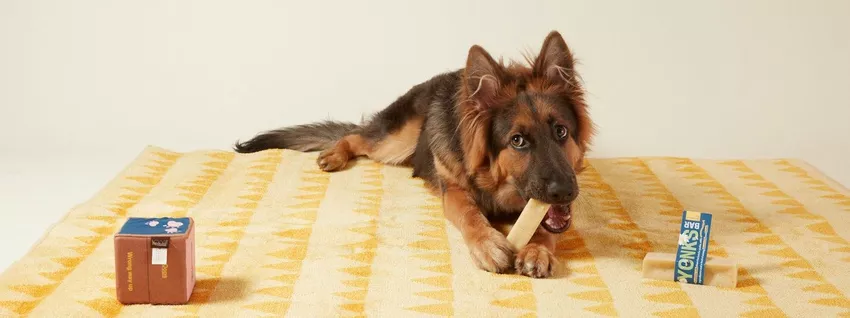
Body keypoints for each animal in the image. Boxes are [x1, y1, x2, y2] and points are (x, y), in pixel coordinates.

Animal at [232, 30, 588, 278]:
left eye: (561, 132)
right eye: (517, 141)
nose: (565, 191)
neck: (497, 186)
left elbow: (546, 225)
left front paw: (538, 249)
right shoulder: (453, 190)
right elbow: (470, 213)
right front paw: (487, 243)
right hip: (396, 141)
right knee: (356, 137)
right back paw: (335, 154)